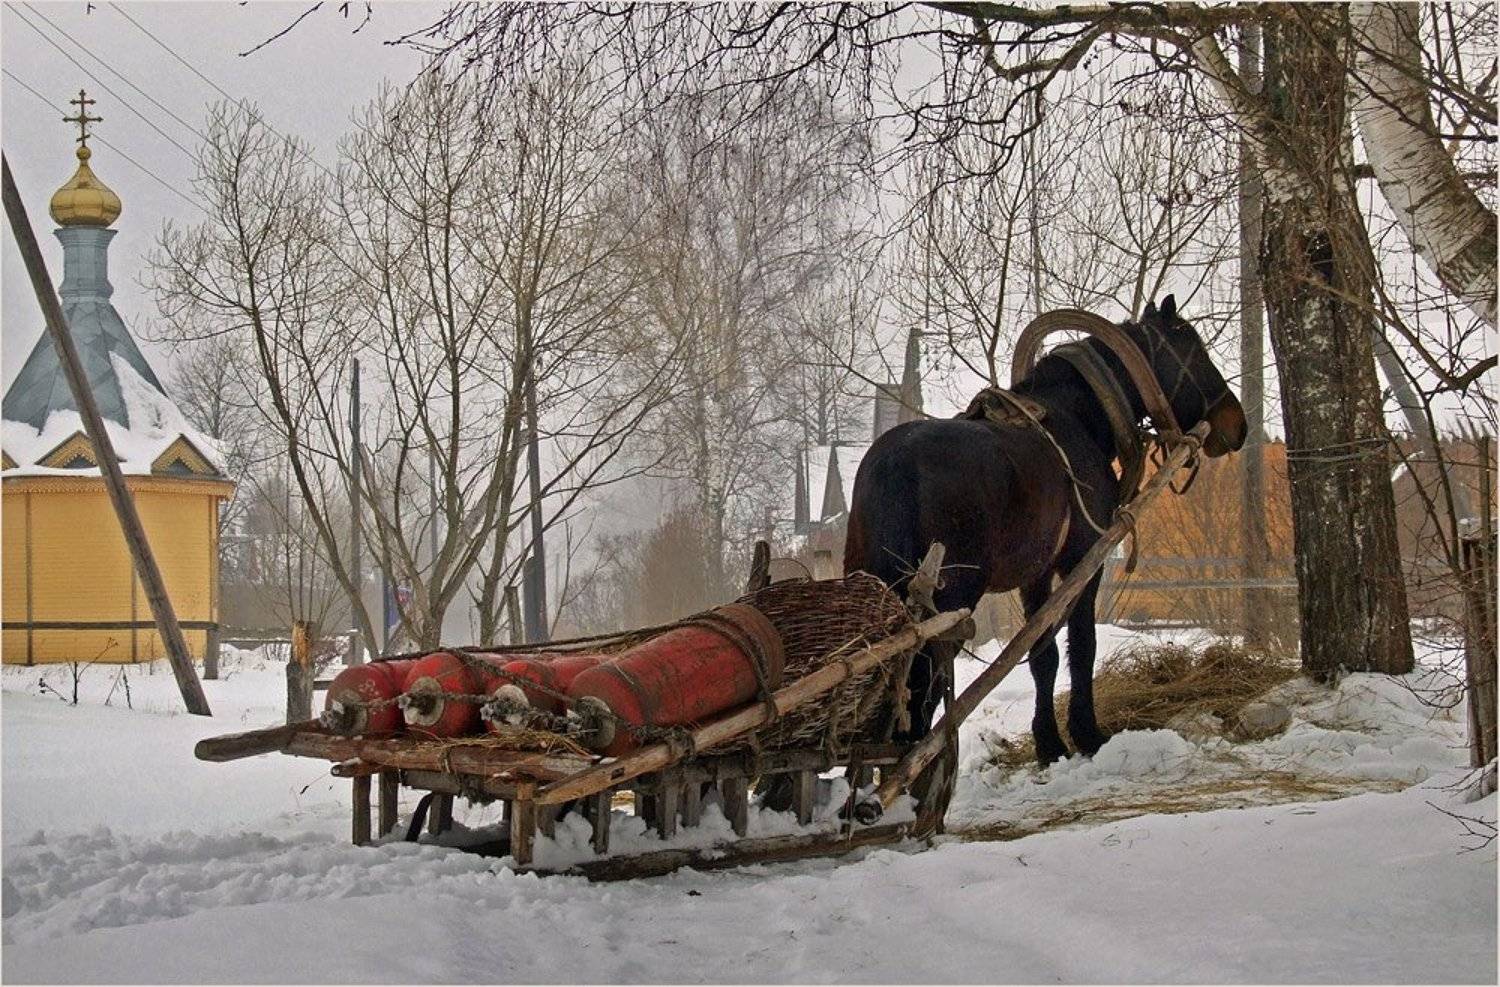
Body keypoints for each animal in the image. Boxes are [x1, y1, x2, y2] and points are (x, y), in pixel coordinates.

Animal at [844, 296, 1247, 768]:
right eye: (1192, 347)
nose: (1237, 423)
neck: (1074, 419)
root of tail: (894, 465)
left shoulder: (1036, 576)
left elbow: (1042, 655)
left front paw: (1049, 743)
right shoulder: (1081, 563)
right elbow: (1083, 645)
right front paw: (1087, 734)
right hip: (949, 596)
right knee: (923, 681)